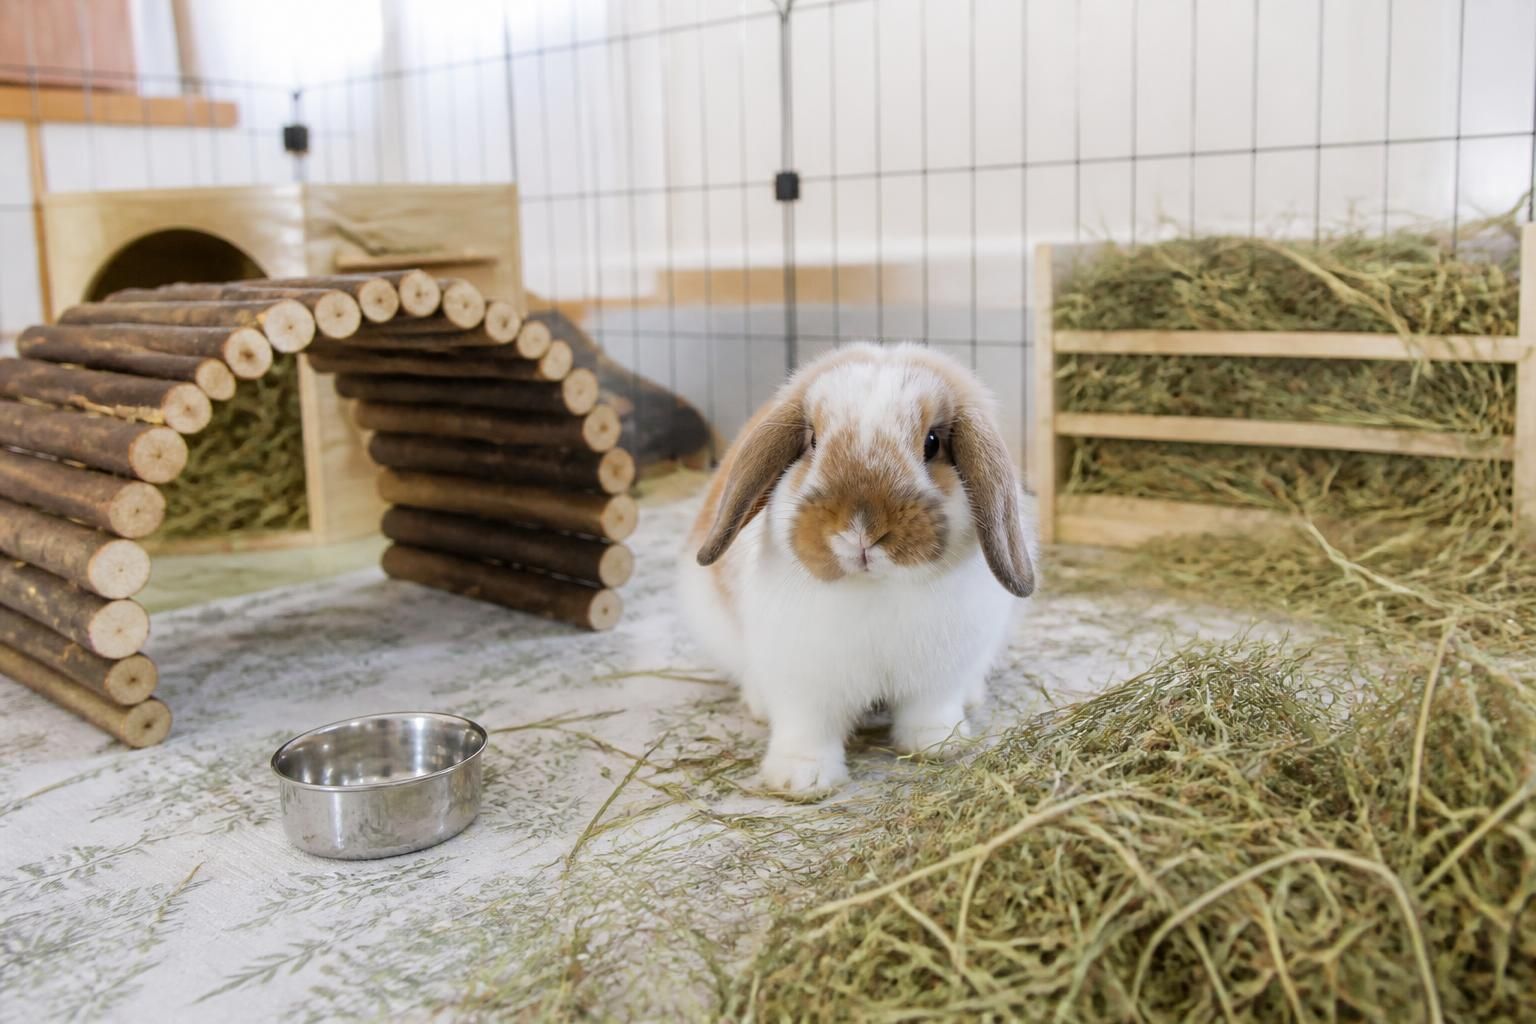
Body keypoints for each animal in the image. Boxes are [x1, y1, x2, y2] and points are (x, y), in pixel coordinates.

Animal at [677, 342, 1037, 792]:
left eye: (932, 442)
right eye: (813, 440)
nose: (862, 531)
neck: (875, 588)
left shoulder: (938, 677)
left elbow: (930, 711)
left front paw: (938, 745)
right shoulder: (802, 682)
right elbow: (806, 729)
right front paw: (800, 779)